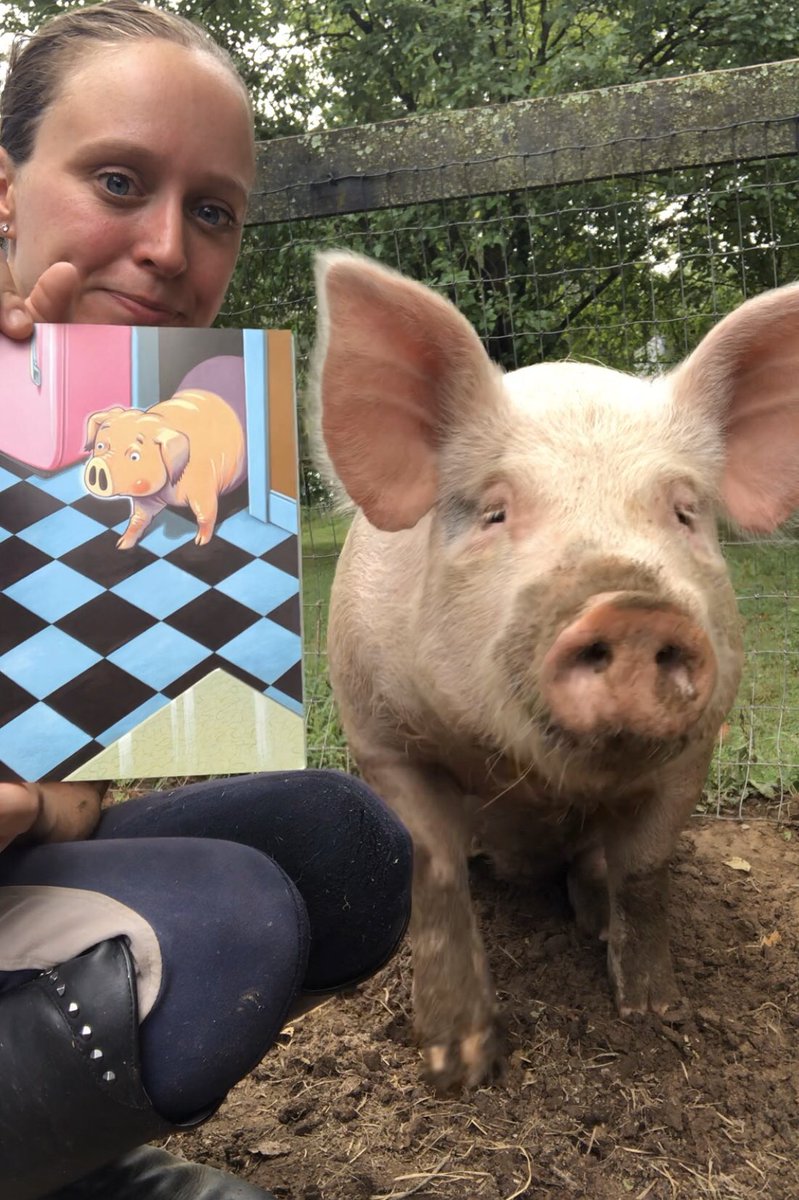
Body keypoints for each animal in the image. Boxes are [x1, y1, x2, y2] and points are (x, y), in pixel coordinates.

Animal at [83, 389, 246, 549]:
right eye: (100, 446)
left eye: (134, 456)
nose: (98, 463)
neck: (169, 490)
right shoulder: (147, 500)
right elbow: (139, 518)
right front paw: (122, 545)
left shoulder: (204, 488)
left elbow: (205, 515)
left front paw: (200, 542)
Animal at [310, 250, 799, 1092]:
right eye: (495, 511)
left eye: (683, 512)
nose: (632, 607)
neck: (528, 779)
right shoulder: (377, 732)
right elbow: (434, 871)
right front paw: (458, 1068)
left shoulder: (694, 752)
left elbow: (643, 868)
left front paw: (654, 1014)